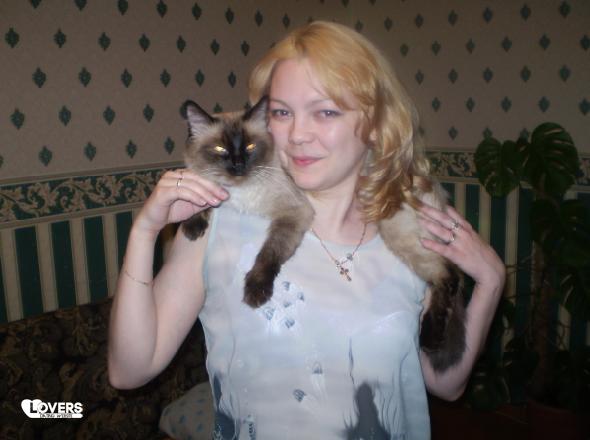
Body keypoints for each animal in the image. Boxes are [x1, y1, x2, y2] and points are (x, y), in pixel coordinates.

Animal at [180, 96, 314, 308]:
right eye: (220, 149)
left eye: (250, 147)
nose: (238, 166)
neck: (240, 191)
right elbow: (201, 192)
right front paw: (193, 225)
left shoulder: (294, 212)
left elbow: (268, 254)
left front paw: (256, 290)